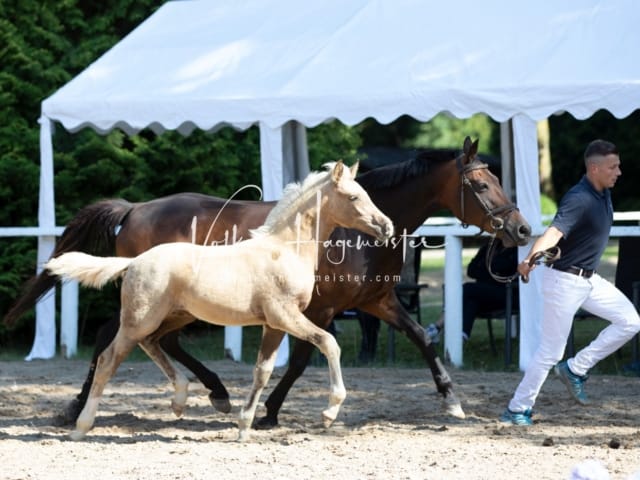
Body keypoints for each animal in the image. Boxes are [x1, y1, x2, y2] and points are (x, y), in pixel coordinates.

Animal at [5, 138, 528, 428]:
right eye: (482, 185)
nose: (521, 230)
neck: (350, 235)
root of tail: (133, 209)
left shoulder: (377, 302)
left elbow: (422, 337)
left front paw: (452, 401)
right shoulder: (320, 311)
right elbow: (299, 360)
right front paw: (273, 411)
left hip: (179, 308)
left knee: (157, 342)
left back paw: (213, 393)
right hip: (155, 304)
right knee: (109, 337)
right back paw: (78, 409)